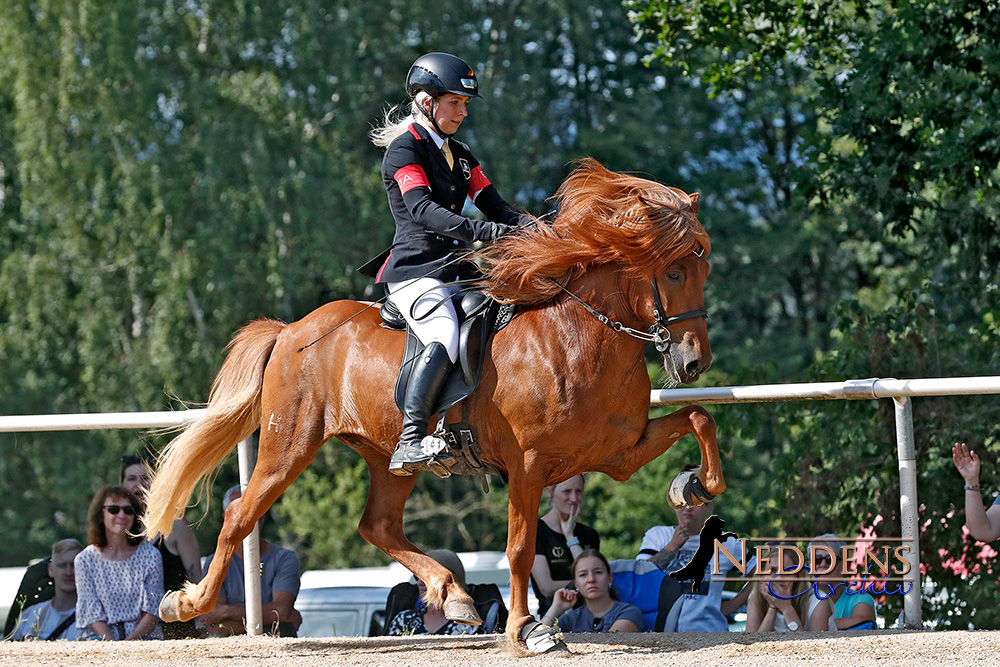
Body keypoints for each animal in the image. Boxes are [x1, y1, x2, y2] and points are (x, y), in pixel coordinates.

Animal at [143, 158, 728, 652]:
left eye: (705, 271)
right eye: (674, 272)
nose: (693, 363)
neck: (577, 336)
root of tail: (290, 331)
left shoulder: (619, 453)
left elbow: (699, 417)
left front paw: (694, 486)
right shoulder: (528, 466)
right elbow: (519, 548)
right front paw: (528, 630)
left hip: (386, 457)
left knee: (377, 526)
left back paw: (455, 596)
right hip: (290, 443)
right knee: (240, 516)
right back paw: (184, 603)